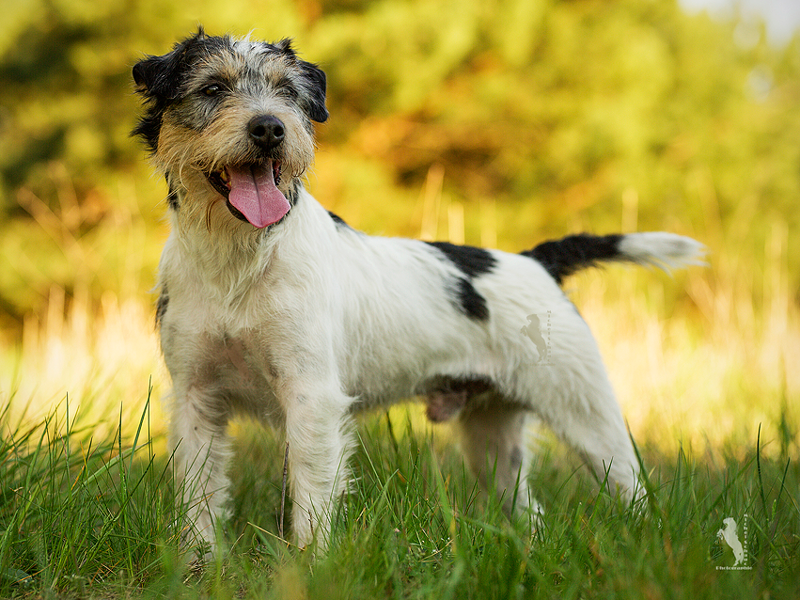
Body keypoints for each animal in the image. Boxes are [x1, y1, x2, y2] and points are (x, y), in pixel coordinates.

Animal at [134, 28, 704, 552]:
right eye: (212, 87)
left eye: (287, 91)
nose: (270, 128)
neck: (238, 260)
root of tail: (536, 261)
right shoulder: (197, 397)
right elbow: (199, 491)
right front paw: (198, 564)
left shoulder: (311, 397)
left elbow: (313, 494)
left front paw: (311, 565)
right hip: (492, 434)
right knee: (528, 507)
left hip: (588, 416)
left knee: (632, 487)